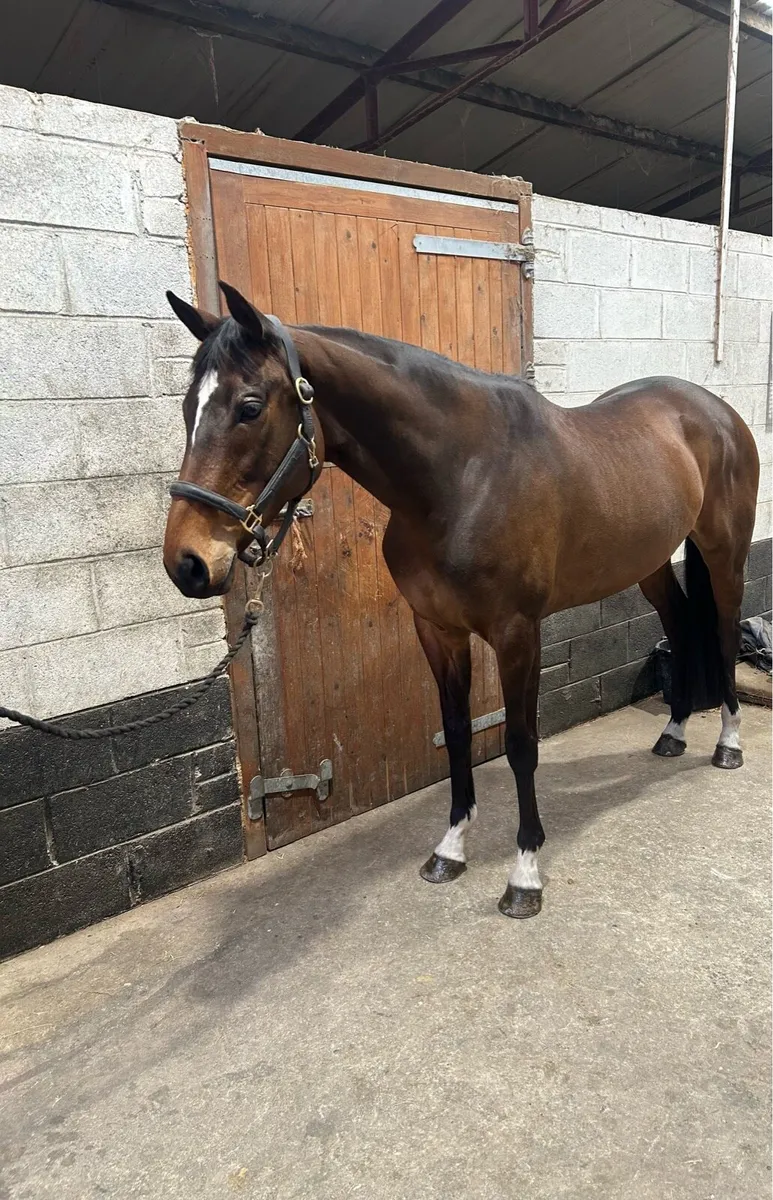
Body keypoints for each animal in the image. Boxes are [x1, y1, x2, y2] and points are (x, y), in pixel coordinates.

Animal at [162, 282, 760, 919]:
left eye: (249, 407)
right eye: (187, 409)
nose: (187, 564)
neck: (462, 477)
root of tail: (718, 412)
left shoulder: (517, 633)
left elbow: (520, 744)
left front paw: (525, 875)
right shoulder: (437, 629)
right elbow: (454, 734)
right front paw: (449, 850)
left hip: (725, 555)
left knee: (724, 631)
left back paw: (728, 744)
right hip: (649, 564)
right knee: (681, 622)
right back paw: (673, 733)